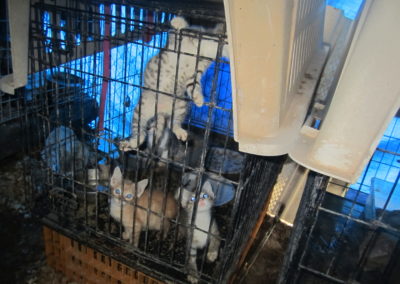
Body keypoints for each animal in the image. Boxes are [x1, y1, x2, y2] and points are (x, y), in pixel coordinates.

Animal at [119, 16, 228, 152]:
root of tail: (160, 111)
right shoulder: (175, 41)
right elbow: (177, 31)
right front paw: (178, 22)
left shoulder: (194, 73)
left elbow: (193, 85)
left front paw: (198, 98)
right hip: (141, 109)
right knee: (139, 131)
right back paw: (132, 143)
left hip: (181, 104)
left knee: (173, 123)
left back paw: (179, 131)